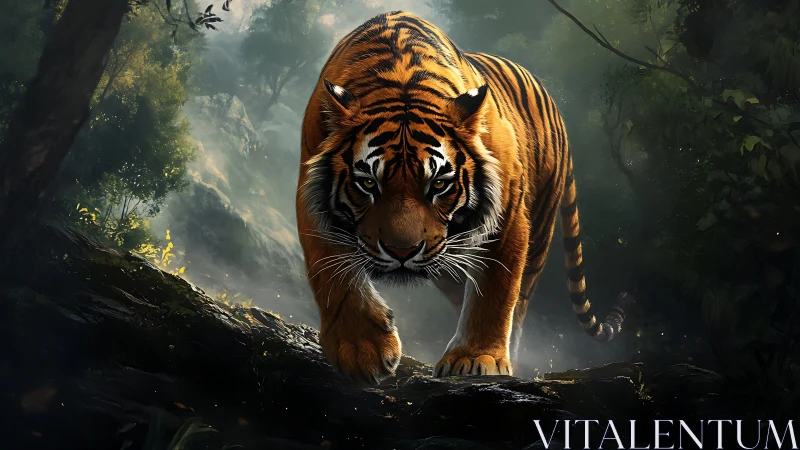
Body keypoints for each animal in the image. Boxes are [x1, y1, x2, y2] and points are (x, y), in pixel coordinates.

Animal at [296, 11, 632, 384]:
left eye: (439, 184)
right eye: (368, 183)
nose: (401, 252)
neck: (399, 79)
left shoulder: (507, 215)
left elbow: (496, 291)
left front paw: (477, 358)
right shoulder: (311, 195)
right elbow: (331, 274)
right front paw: (361, 350)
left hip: (537, 230)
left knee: (519, 302)